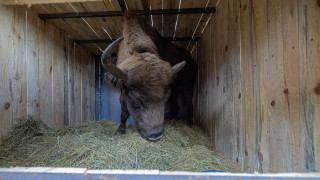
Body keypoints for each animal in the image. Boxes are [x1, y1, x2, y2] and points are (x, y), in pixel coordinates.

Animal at [102, 11, 198, 141]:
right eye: (135, 102)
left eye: (164, 99)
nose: (155, 135)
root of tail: (192, 61)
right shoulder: (123, 89)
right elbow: (123, 112)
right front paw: (120, 131)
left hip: (188, 86)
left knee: (189, 104)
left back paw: (191, 125)